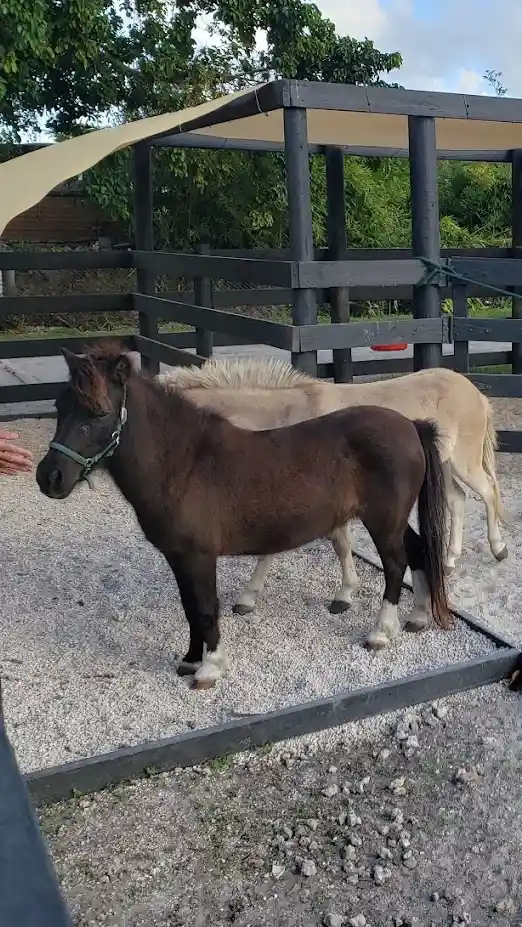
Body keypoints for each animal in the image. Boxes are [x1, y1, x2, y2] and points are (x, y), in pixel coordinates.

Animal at [36, 340, 450, 688]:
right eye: (59, 407)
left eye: (99, 411)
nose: (49, 477)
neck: (184, 464)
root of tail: (411, 425)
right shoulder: (179, 558)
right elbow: (190, 608)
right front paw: (189, 660)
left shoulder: (199, 557)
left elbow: (205, 609)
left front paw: (208, 668)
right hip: (393, 520)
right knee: (417, 551)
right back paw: (416, 617)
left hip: (383, 521)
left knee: (396, 565)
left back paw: (380, 632)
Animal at [156, 356, 502, 616]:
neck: (284, 418)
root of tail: (474, 391)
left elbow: (329, 545)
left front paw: (341, 596)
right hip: (446, 466)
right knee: (458, 500)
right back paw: (449, 559)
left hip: (463, 462)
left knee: (487, 492)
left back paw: (499, 549)